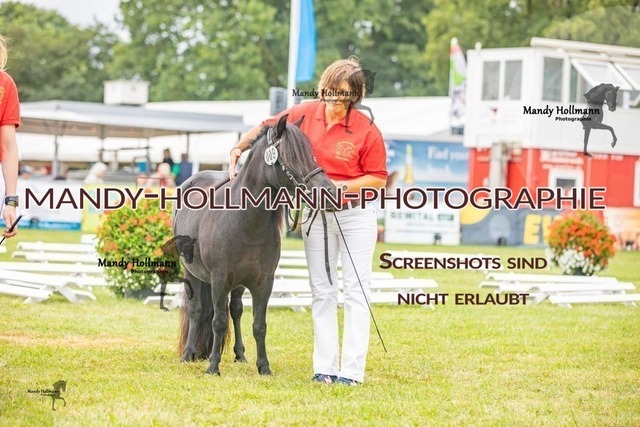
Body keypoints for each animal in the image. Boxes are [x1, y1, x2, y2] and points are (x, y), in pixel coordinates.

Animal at [174, 114, 335, 375]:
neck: (244, 221)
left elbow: (259, 325)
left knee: (236, 310)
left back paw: (240, 355)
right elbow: (218, 322)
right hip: (192, 272)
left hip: (238, 284)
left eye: (311, 154)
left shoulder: (264, 282)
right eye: (290, 156)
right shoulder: (219, 280)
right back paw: (188, 354)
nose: (329, 191)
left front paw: (264, 367)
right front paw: (213, 367)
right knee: (196, 310)